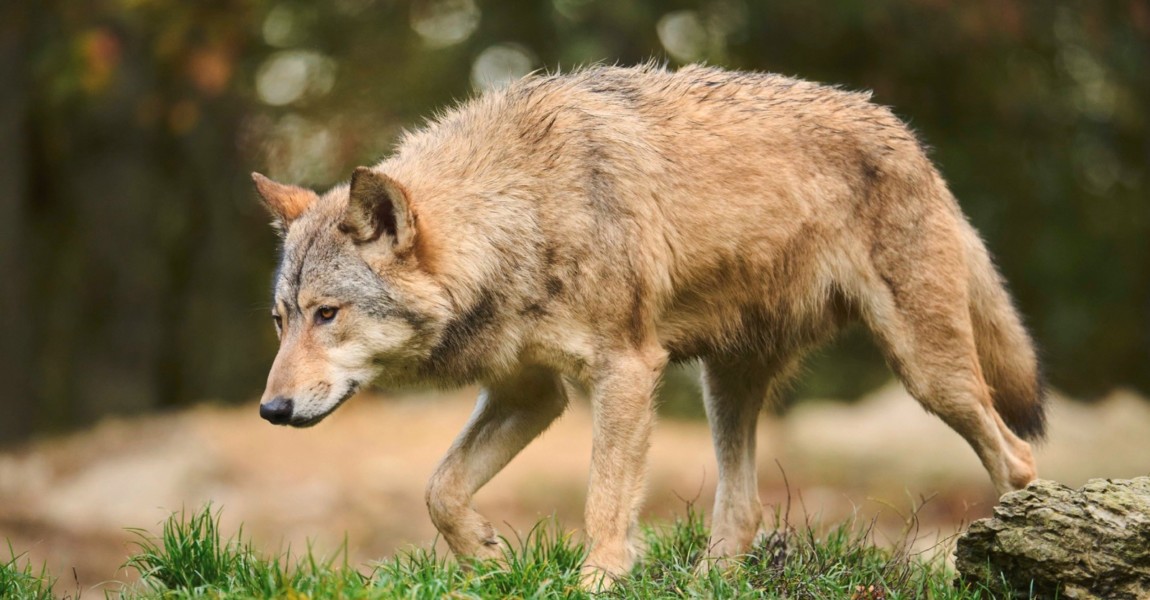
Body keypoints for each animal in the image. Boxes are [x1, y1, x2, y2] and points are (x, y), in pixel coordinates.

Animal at [251, 62, 1044, 581]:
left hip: (929, 376)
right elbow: (439, 489)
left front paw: (596, 582)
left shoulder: (626, 372)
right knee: (742, 514)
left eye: (328, 314)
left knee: (1017, 458)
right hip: (725, 385)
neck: (521, 211)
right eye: (282, 321)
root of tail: (909, 137)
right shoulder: (531, 393)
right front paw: (484, 556)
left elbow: (603, 503)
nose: (271, 409)